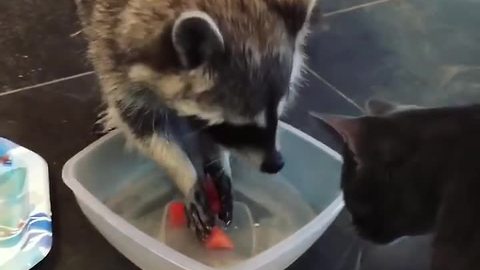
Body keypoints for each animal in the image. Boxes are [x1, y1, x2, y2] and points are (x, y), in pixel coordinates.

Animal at [77, 0, 318, 239]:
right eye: (238, 127)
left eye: (278, 113)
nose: (276, 164)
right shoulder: (114, 57)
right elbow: (142, 127)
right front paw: (185, 172)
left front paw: (219, 164)